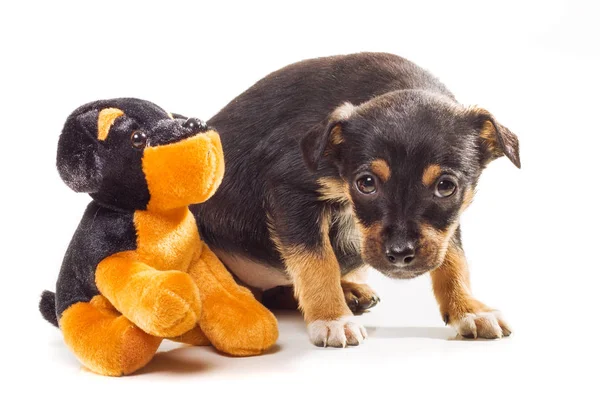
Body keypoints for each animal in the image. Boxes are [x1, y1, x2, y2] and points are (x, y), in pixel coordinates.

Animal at [192, 52, 520, 346]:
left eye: (446, 186)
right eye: (366, 184)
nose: (400, 254)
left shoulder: (450, 219)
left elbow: (454, 258)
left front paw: (468, 310)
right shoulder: (292, 192)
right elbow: (317, 262)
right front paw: (332, 319)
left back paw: (350, 290)